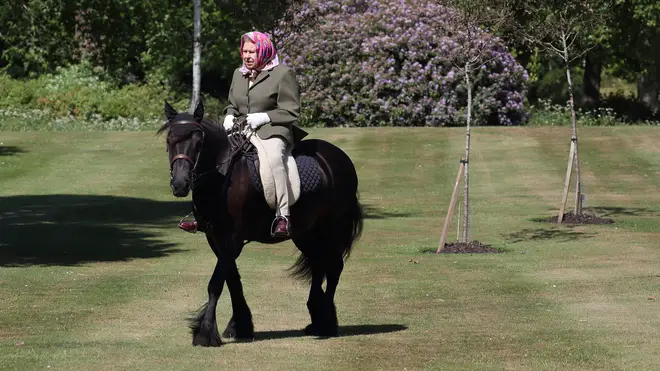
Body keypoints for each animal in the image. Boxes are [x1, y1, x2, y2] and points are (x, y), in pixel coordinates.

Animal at [160, 100, 366, 348]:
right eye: (169, 141)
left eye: (199, 142)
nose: (180, 184)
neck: (222, 176)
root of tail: (339, 157)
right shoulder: (215, 236)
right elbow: (232, 279)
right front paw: (240, 326)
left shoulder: (232, 238)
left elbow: (216, 282)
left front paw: (205, 332)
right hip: (306, 232)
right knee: (319, 264)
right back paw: (317, 319)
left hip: (332, 228)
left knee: (334, 267)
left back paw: (326, 322)